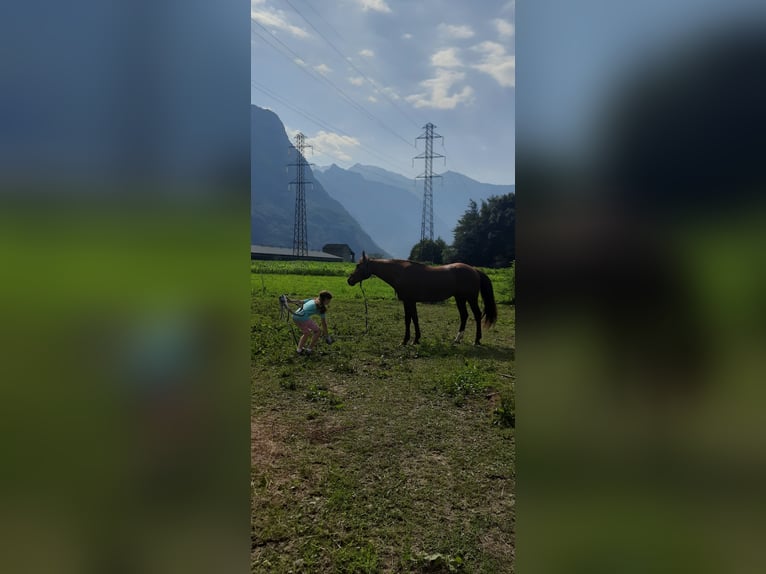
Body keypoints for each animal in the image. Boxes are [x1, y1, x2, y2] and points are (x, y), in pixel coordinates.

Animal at [346, 252, 498, 346]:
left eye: (358, 266)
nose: (350, 280)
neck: (400, 273)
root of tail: (474, 270)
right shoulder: (410, 302)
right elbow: (414, 318)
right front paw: (416, 339)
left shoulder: (408, 301)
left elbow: (408, 320)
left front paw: (406, 340)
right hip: (460, 298)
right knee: (464, 316)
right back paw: (457, 339)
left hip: (470, 298)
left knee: (477, 315)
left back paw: (476, 340)